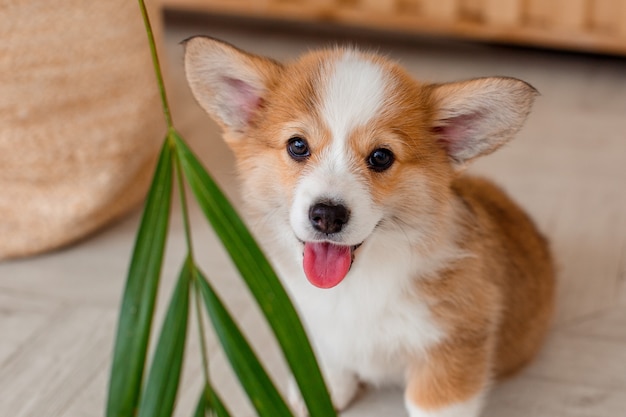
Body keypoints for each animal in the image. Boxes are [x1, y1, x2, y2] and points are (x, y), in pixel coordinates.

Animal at [183, 38, 552, 416]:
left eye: (381, 157)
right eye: (297, 145)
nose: (327, 215)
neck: (357, 283)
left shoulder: (452, 347)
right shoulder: (316, 322)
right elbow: (330, 360)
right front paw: (321, 392)